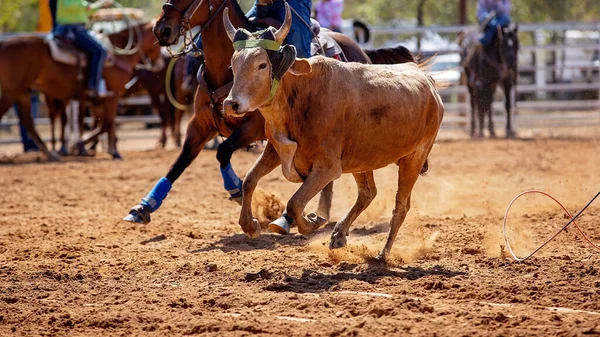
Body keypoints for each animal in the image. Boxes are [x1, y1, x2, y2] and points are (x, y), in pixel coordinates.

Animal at [0, 21, 162, 161]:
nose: (160, 64)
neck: (119, 55)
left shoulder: (98, 101)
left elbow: (102, 124)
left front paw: (94, 147)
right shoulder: (112, 96)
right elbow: (106, 123)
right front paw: (105, 150)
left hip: (22, 93)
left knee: (28, 121)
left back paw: (51, 153)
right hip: (12, 92)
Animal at [125, 0, 418, 230]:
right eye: (233, 62)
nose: (162, 29)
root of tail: (360, 50)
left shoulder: (252, 128)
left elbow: (222, 152)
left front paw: (235, 189)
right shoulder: (199, 126)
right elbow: (179, 163)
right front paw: (143, 208)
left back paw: (299, 217)